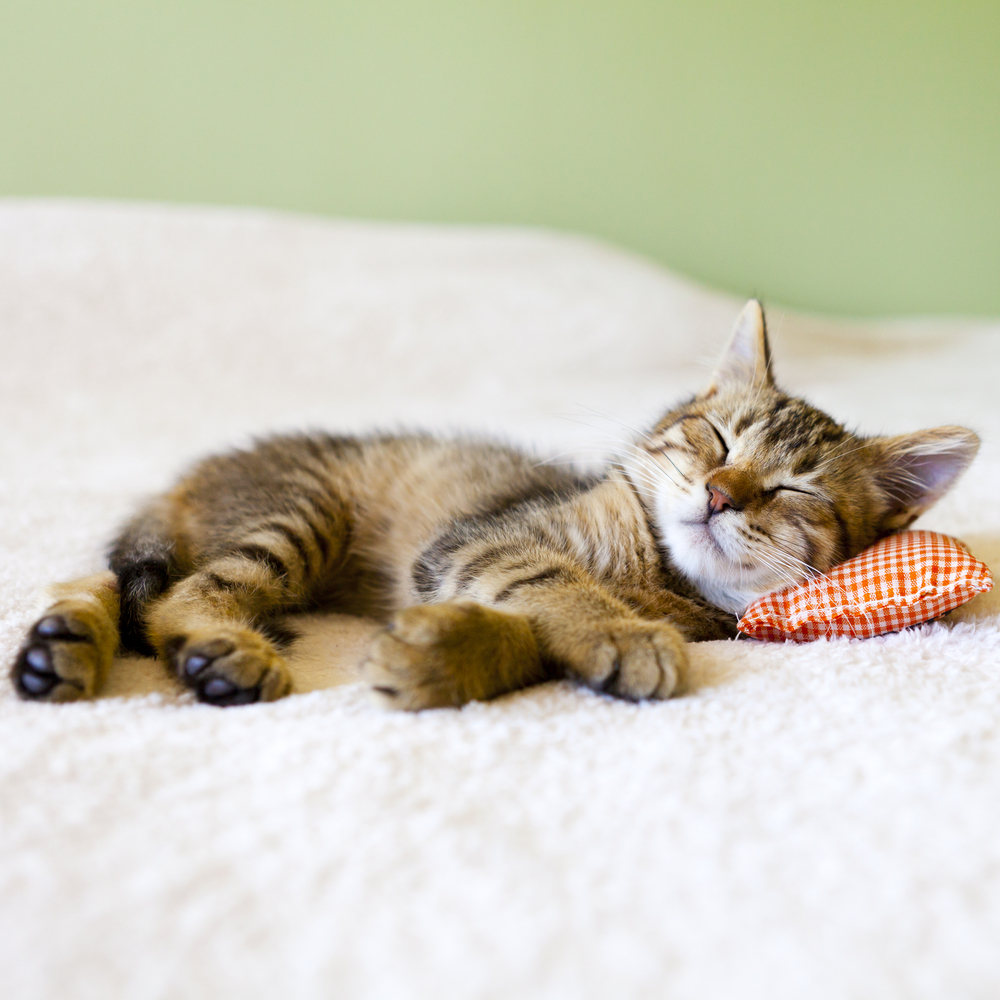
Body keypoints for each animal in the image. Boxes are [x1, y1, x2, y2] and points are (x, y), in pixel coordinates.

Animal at [7, 300, 976, 708]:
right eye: (715, 440)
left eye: (791, 490)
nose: (717, 494)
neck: (655, 572)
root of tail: (194, 474)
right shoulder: (477, 540)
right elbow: (551, 584)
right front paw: (619, 634)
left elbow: (528, 635)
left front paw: (446, 658)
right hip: (297, 517)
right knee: (174, 594)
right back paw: (216, 650)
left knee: (122, 589)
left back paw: (62, 649)